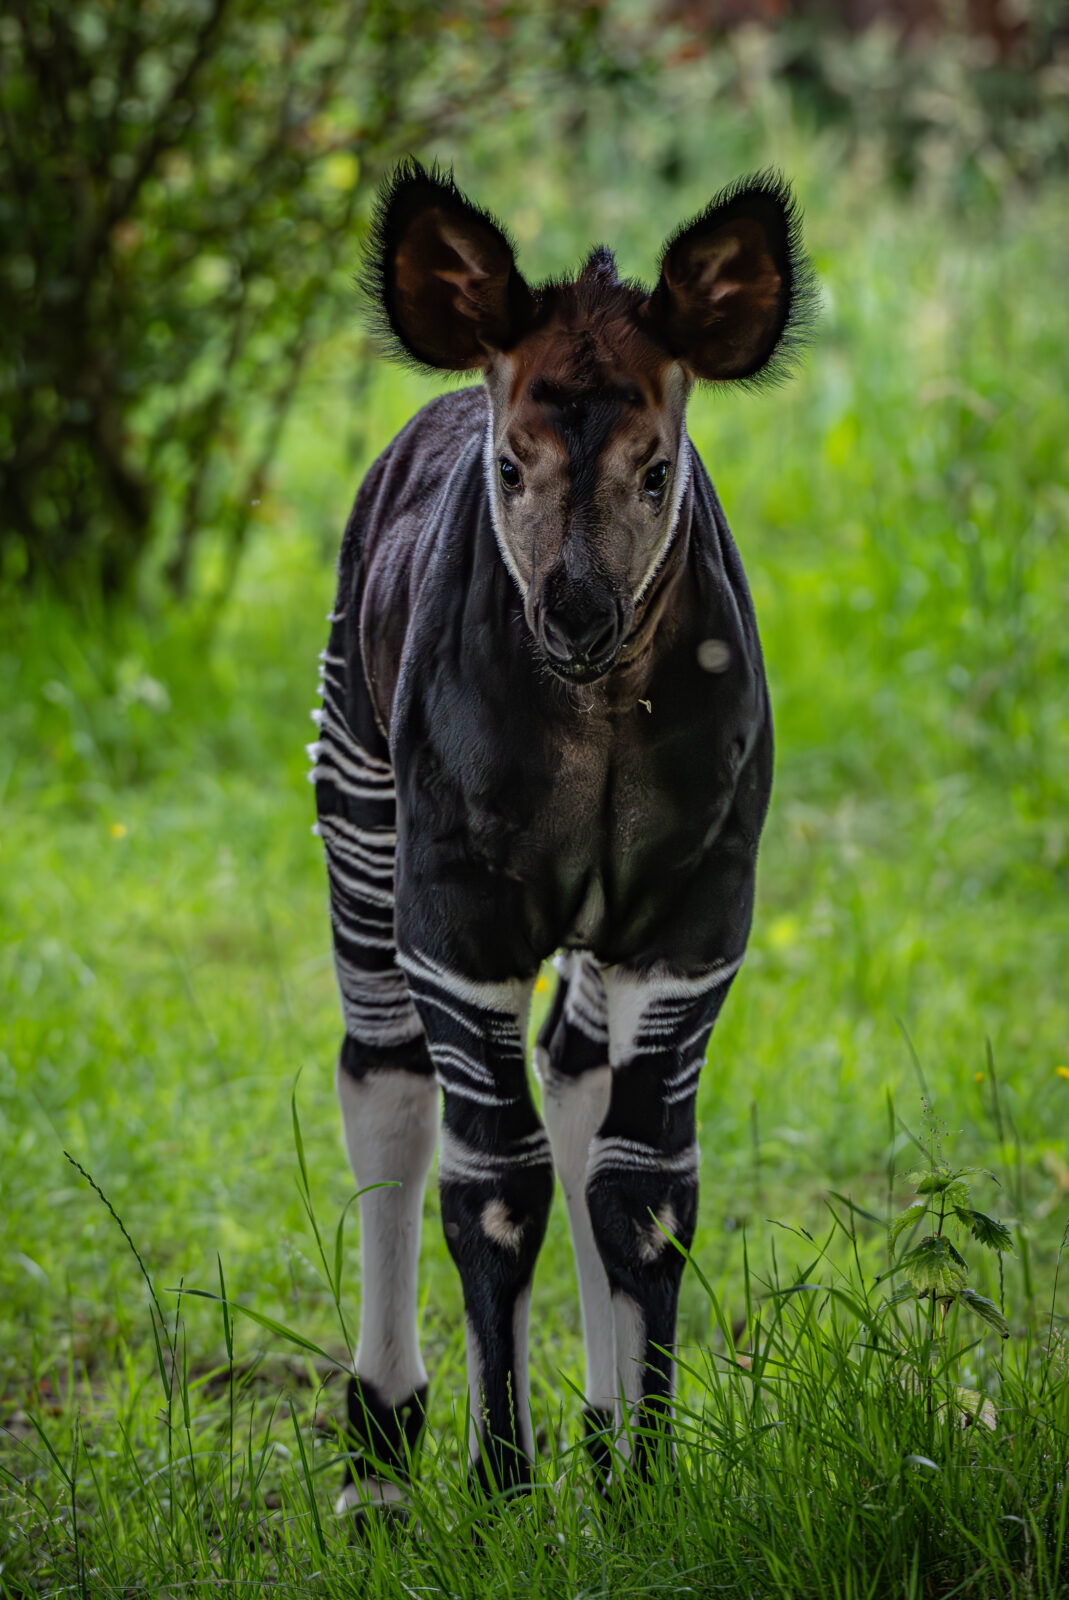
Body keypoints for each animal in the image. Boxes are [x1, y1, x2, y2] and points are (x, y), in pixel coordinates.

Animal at [313, 159, 812, 1510]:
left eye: (655, 470)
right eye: (509, 469)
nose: (577, 614)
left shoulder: (690, 923)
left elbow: (644, 1190)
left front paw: (643, 1486)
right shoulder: (460, 921)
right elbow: (494, 1188)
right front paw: (498, 1487)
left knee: (577, 1081)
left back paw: (592, 1428)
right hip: (358, 805)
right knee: (386, 1079)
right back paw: (381, 1454)